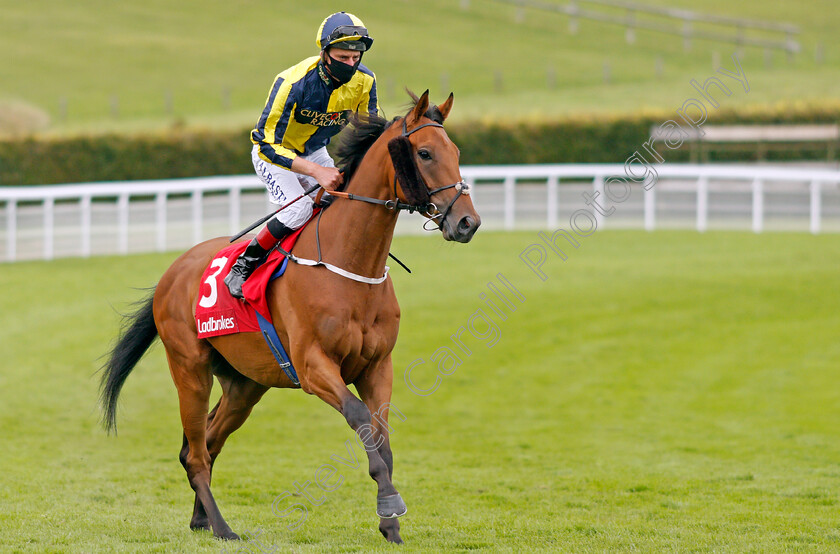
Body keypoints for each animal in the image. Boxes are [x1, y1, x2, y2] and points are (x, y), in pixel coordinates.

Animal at [100, 91, 480, 544]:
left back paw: (201, 519)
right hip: (190, 371)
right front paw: (390, 505)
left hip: (244, 385)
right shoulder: (314, 366)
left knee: (206, 443)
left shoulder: (377, 366)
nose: (467, 222)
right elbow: (360, 420)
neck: (347, 264)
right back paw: (222, 527)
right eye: (424, 153)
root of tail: (171, 273)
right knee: (195, 453)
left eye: (456, 152)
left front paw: (390, 524)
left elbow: (381, 434)